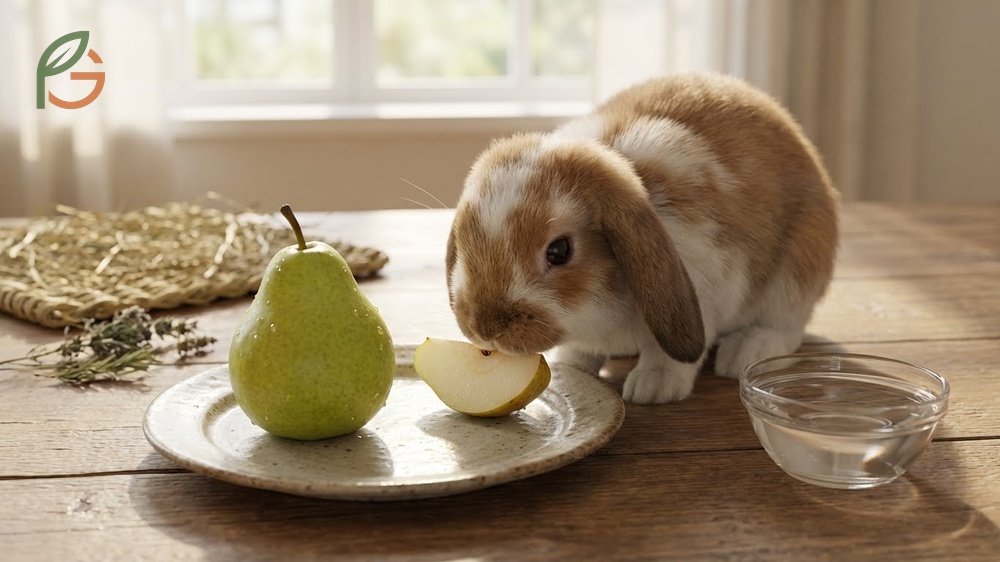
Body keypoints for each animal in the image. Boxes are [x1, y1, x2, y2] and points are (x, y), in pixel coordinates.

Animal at [445, 72, 839, 404]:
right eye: (464, 241)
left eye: (558, 250)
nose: (485, 328)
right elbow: (582, 352)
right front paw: (570, 369)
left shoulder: (708, 285)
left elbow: (667, 354)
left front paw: (654, 387)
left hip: (797, 271)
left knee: (785, 328)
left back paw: (744, 352)